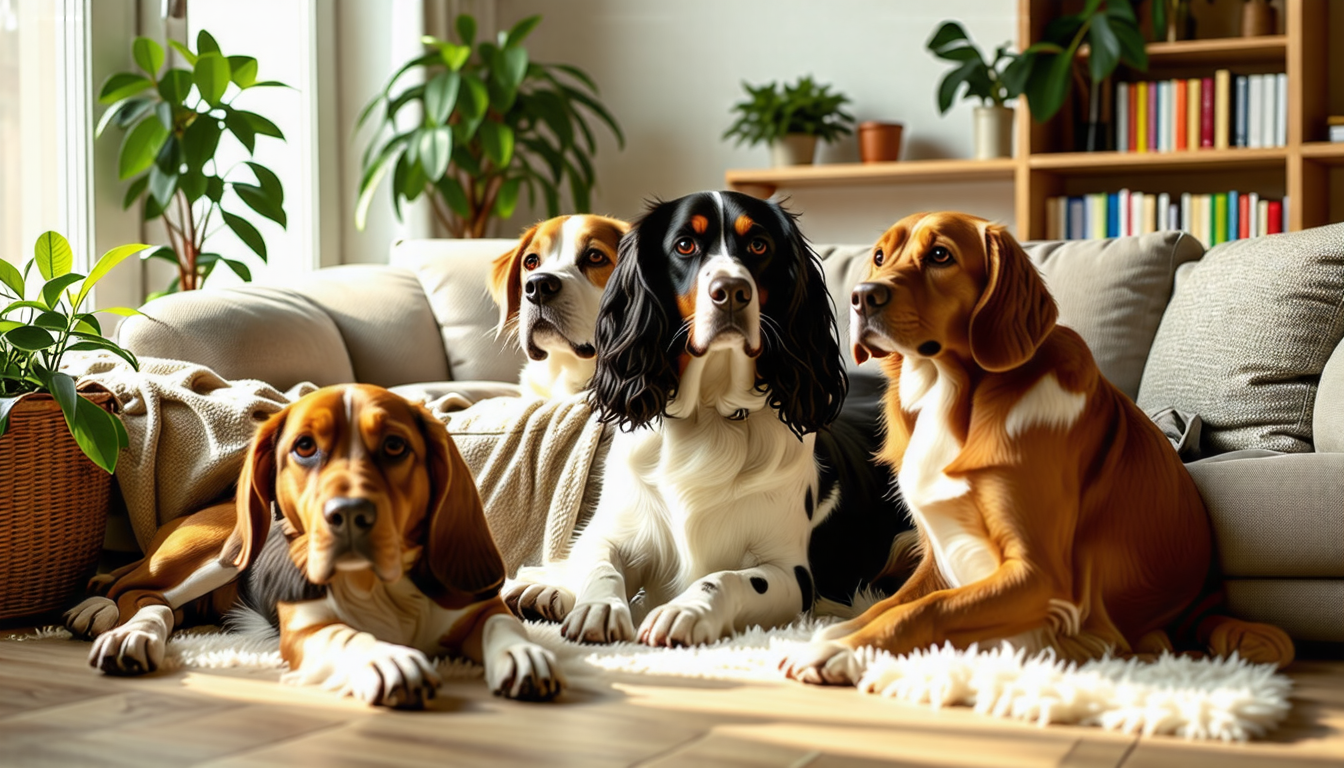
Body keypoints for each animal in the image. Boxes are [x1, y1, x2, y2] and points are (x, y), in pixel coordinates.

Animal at [64, 384, 561, 710]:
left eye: (395, 446)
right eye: (304, 447)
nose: (349, 513)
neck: (380, 586)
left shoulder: (481, 607)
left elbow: (505, 625)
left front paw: (523, 654)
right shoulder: (306, 629)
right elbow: (350, 634)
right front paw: (389, 659)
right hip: (218, 555)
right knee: (140, 594)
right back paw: (122, 628)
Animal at [784, 212, 1295, 685]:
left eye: (940, 255)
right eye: (878, 256)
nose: (861, 296)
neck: (954, 399)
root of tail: (1206, 601)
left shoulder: (1041, 577)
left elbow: (925, 609)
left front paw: (842, 651)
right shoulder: (937, 553)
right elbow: (888, 604)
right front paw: (828, 636)